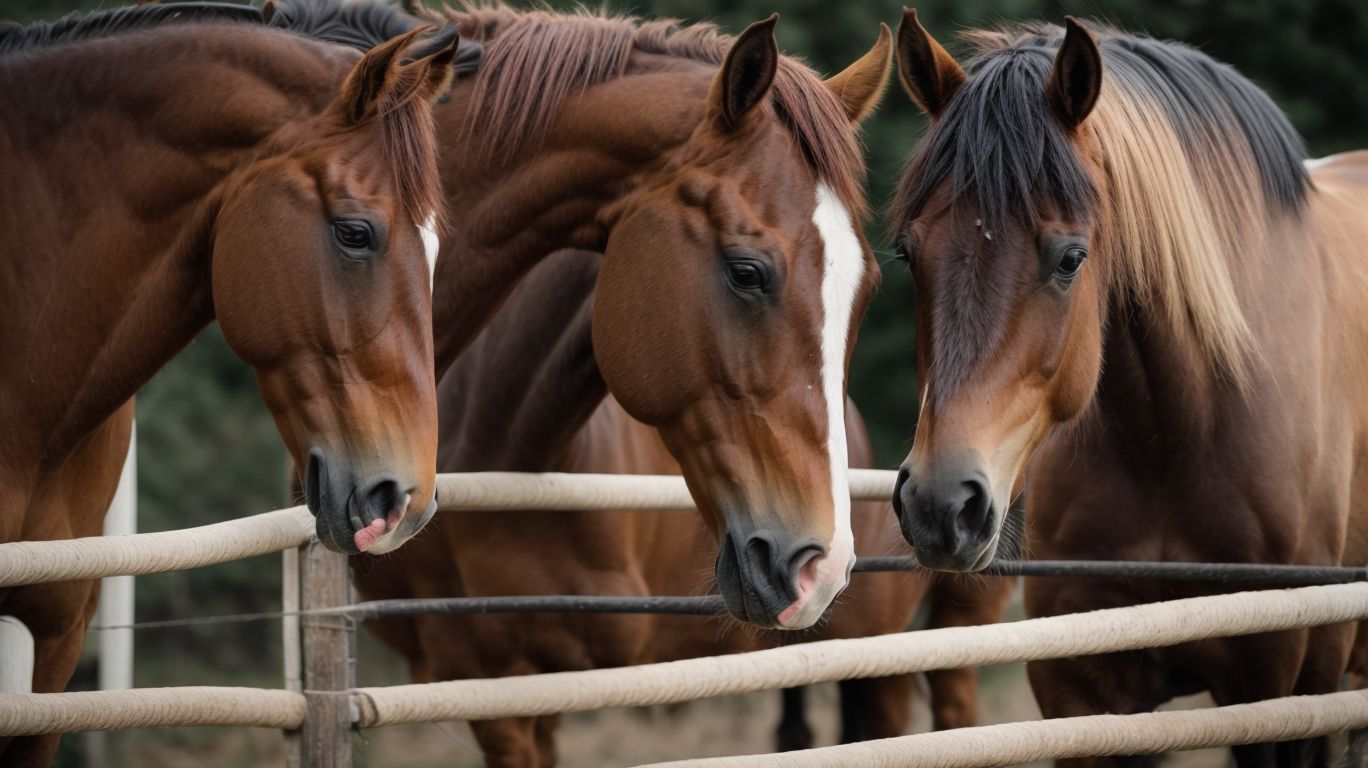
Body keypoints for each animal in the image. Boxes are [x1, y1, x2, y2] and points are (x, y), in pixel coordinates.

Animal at [887, 10, 1368, 766]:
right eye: (908, 253)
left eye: (1070, 259)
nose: (941, 506)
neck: (1176, 432)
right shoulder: (1085, 697)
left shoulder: (1289, 697)